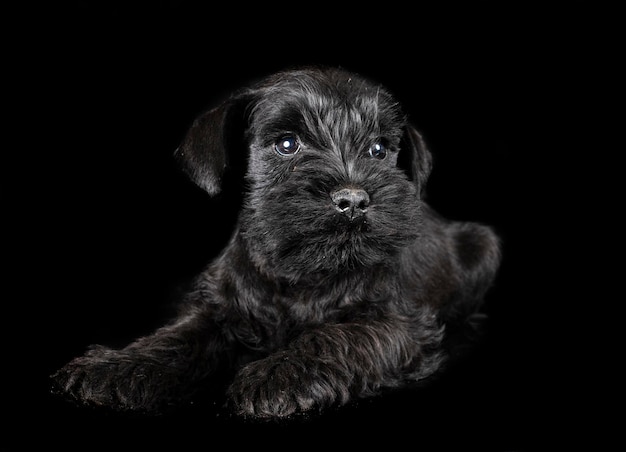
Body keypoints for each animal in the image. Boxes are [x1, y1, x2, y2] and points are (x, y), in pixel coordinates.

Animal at [53, 65, 502, 418]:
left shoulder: (397, 324)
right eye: (287, 144)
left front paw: (276, 373)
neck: (300, 273)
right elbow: (176, 337)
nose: (354, 200)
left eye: (378, 149)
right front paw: (116, 366)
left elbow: (334, 336)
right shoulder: (219, 310)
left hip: (485, 244)